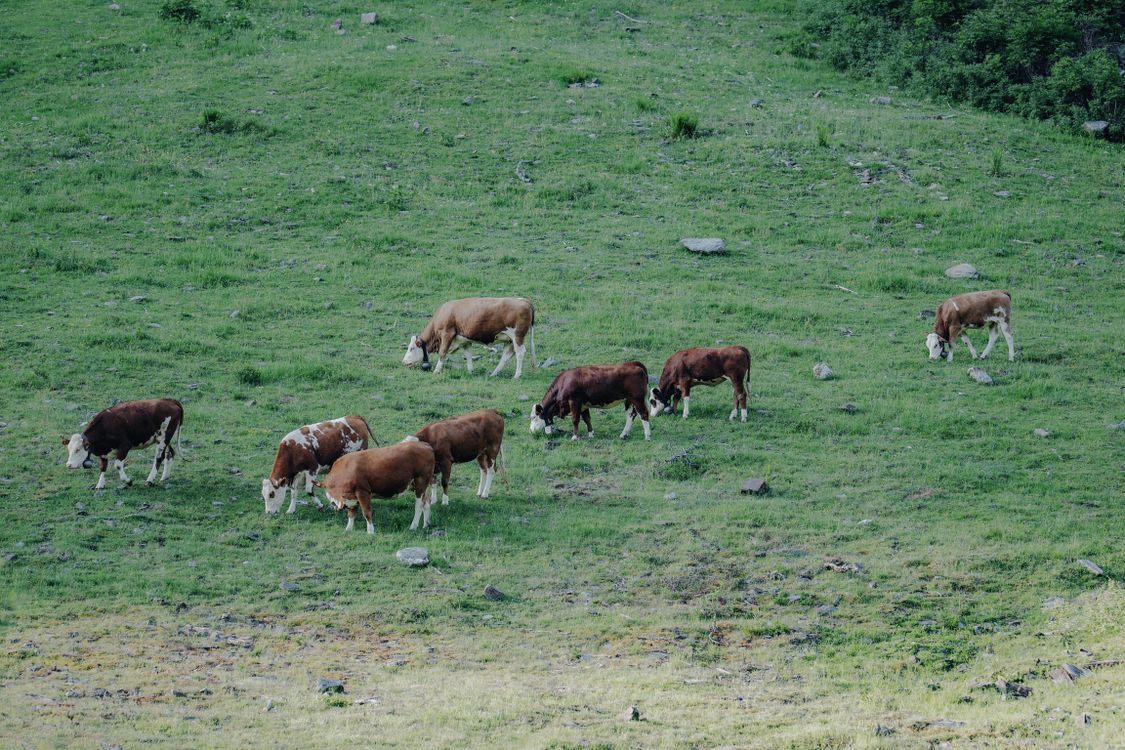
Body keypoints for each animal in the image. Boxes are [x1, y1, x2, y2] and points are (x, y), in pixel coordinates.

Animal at [403, 297, 537, 378]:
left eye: (411, 348)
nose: (403, 362)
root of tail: (523, 300)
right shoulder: (465, 340)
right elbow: (468, 355)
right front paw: (470, 371)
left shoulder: (447, 333)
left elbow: (442, 352)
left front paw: (437, 370)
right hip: (509, 340)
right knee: (506, 355)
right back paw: (494, 374)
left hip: (517, 336)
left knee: (520, 352)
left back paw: (517, 375)